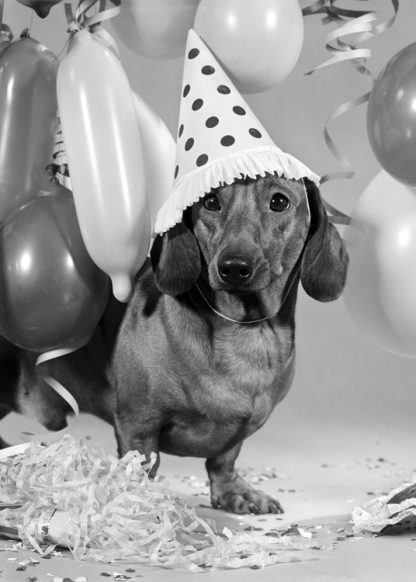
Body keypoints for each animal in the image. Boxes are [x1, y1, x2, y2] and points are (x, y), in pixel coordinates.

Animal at [0, 173, 348, 516]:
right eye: (211, 201)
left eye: (279, 201)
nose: (234, 267)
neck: (245, 332)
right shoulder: (138, 423)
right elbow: (142, 466)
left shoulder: (235, 434)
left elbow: (224, 459)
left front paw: (234, 492)